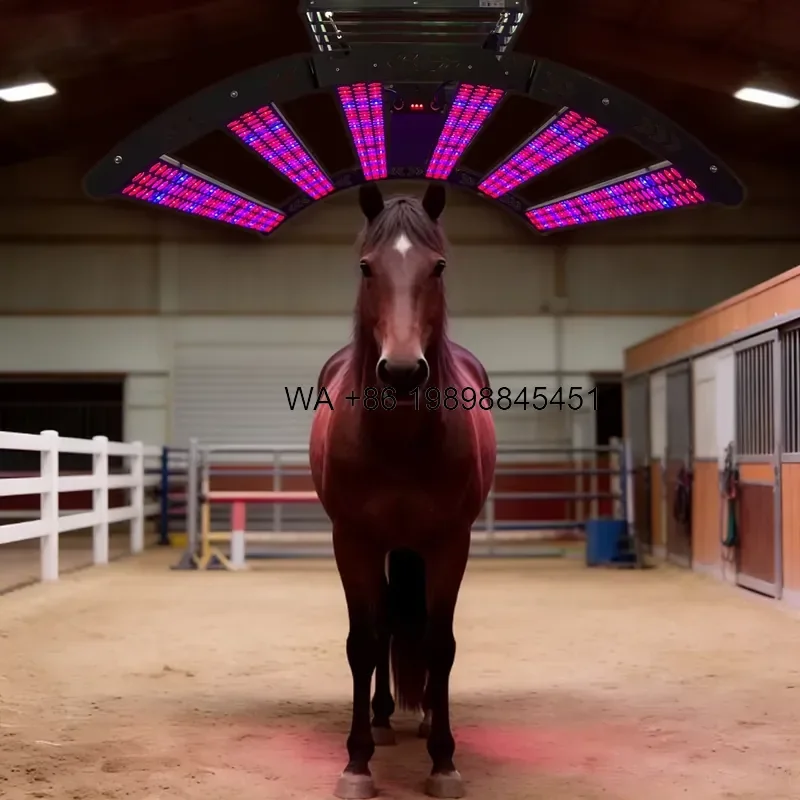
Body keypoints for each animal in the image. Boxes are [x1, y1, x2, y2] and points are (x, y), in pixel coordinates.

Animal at [309, 181, 497, 799]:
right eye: (367, 267)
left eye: (436, 266)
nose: (402, 372)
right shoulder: (353, 542)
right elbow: (364, 641)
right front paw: (357, 762)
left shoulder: (449, 543)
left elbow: (441, 645)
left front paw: (444, 760)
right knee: (387, 622)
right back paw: (384, 720)